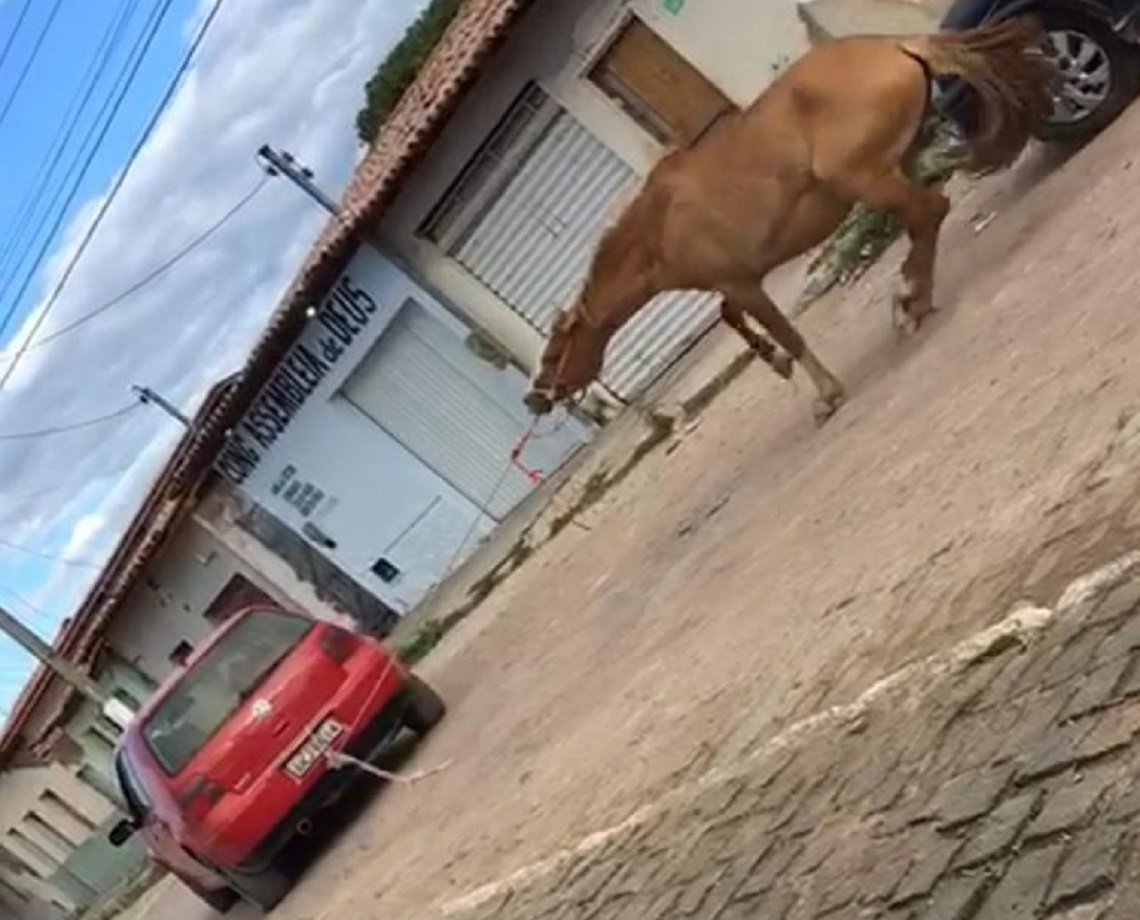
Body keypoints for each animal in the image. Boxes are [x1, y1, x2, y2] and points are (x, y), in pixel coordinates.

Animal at [522, 17, 1048, 421]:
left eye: (553, 353)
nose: (535, 398)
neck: (659, 225)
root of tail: (895, 45)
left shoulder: (739, 280)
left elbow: (783, 332)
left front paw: (825, 393)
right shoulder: (737, 280)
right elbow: (731, 316)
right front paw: (775, 361)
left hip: (866, 178)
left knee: (930, 212)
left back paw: (911, 302)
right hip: (905, 159)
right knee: (925, 216)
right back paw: (911, 299)